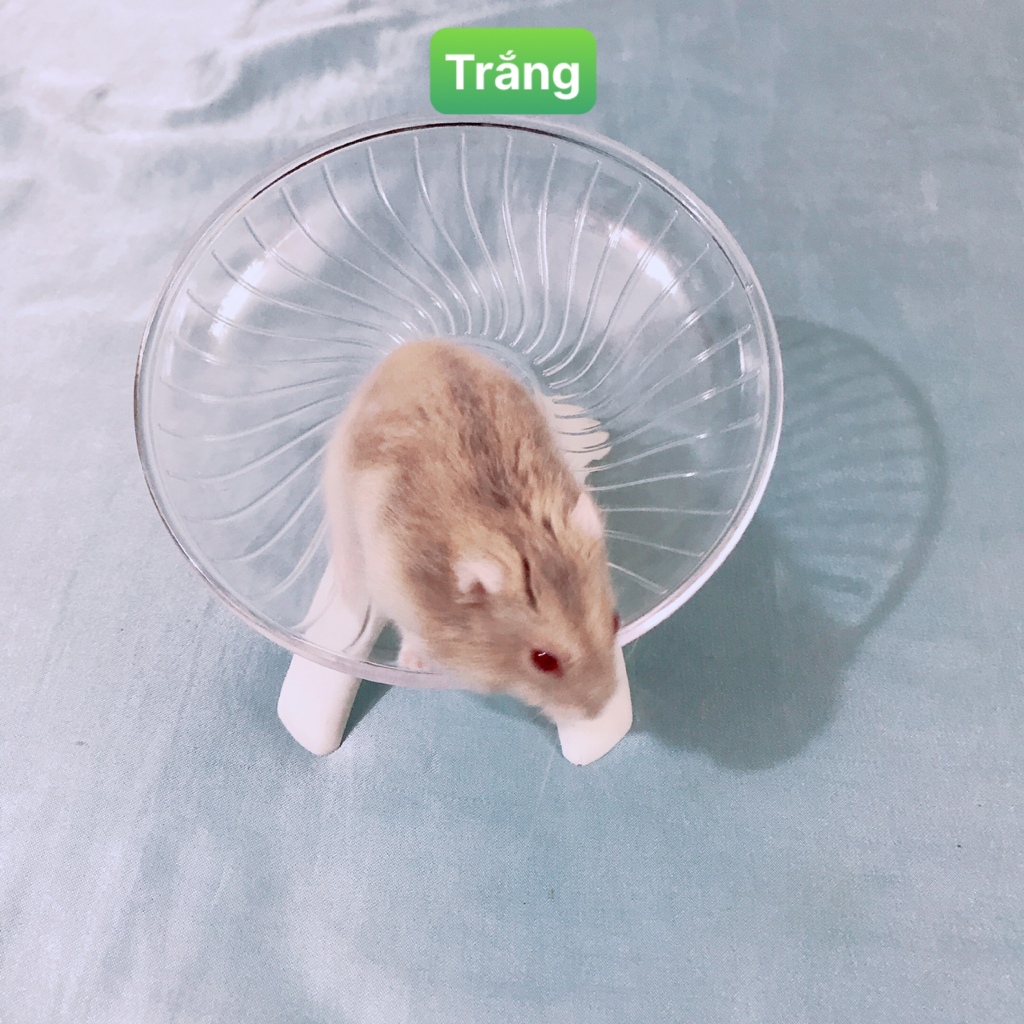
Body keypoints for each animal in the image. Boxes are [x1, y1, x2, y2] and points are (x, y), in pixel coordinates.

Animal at [321, 338, 621, 723]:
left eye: (616, 622)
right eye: (543, 660)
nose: (601, 710)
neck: (516, 533)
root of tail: (412, 345)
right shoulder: (393, 585)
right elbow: (409, 632)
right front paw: (414, 664)